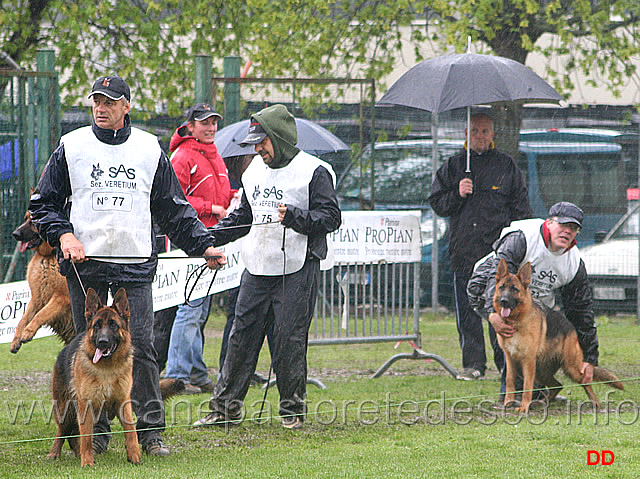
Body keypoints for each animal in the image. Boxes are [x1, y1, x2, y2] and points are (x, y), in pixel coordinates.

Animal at [47, 286, 141, 466]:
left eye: (113, 325)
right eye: (97, 326)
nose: (102, 342)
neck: (107, 369)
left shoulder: (123, 402)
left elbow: (131, 430)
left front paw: (134, 456)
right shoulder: (85, 406)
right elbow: (86, 437)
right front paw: (87, 462)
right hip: (65, 410)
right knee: (62, 431)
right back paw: (54, 453)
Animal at [492, 258, 624, 412]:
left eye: (514, 289)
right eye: (501, 287)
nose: (503, 301)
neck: (516, 321)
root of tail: (572, 328)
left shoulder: (528, 361)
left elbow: (527, 386)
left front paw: (524, 407)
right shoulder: (510, 359)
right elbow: (509, 381)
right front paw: (508, 403)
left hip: (570, 368)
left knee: (585, 382)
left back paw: (595, 403)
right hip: (540, 372)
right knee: (557, 385)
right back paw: (542, 402)